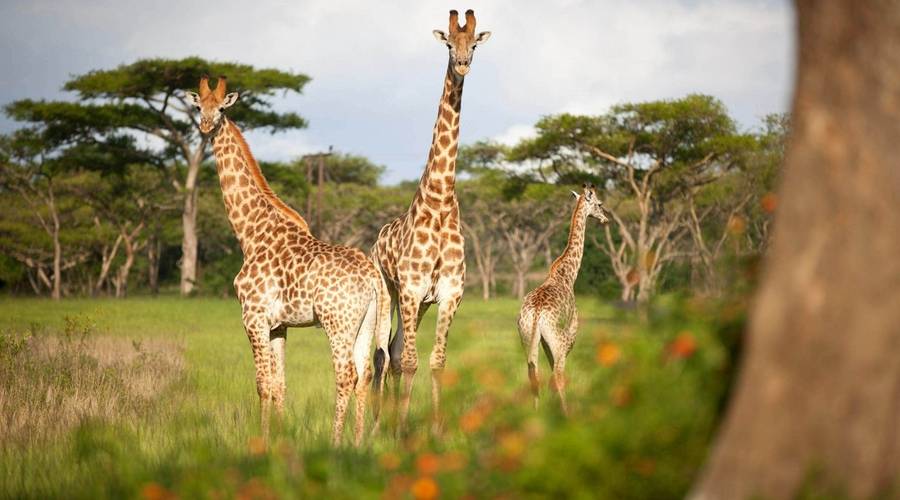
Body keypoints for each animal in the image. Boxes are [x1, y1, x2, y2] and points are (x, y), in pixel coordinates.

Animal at [185, 75, 390, 446]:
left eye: (221, 109)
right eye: (198, 107)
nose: (206, 126)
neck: (250, 232)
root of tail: (372, 277)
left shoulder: (253, 318)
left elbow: (262, 385)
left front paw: (261, 442)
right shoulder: (279, 325)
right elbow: (280, 384)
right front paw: (279, 441)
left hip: (337, 322)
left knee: (345, 374)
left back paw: (336, 443)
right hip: (367, 322)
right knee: (365, 373)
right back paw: (357, 443)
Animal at [370, 7, 492, 432]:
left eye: (474, 45)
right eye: (449, 44)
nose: (463, 64)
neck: (439, 202)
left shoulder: (450, 293)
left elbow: (437, 362)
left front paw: (436, 429)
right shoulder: (409, 288)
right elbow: (409, 361)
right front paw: (401, 429)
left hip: (420, 303)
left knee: (392, 350)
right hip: (389, 291)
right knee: (383, 354)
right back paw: (379, 423)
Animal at [516, 184, 608, 414]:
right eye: (599, 204)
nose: (606, 219)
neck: (567, 275)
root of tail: (536, 314)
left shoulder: (543, 341)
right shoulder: (572, 333)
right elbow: (556, 374)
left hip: (527, 337)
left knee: (533, 374)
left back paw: (536, 413)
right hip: (560, 340)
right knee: (558, 374)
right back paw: (567, 414)